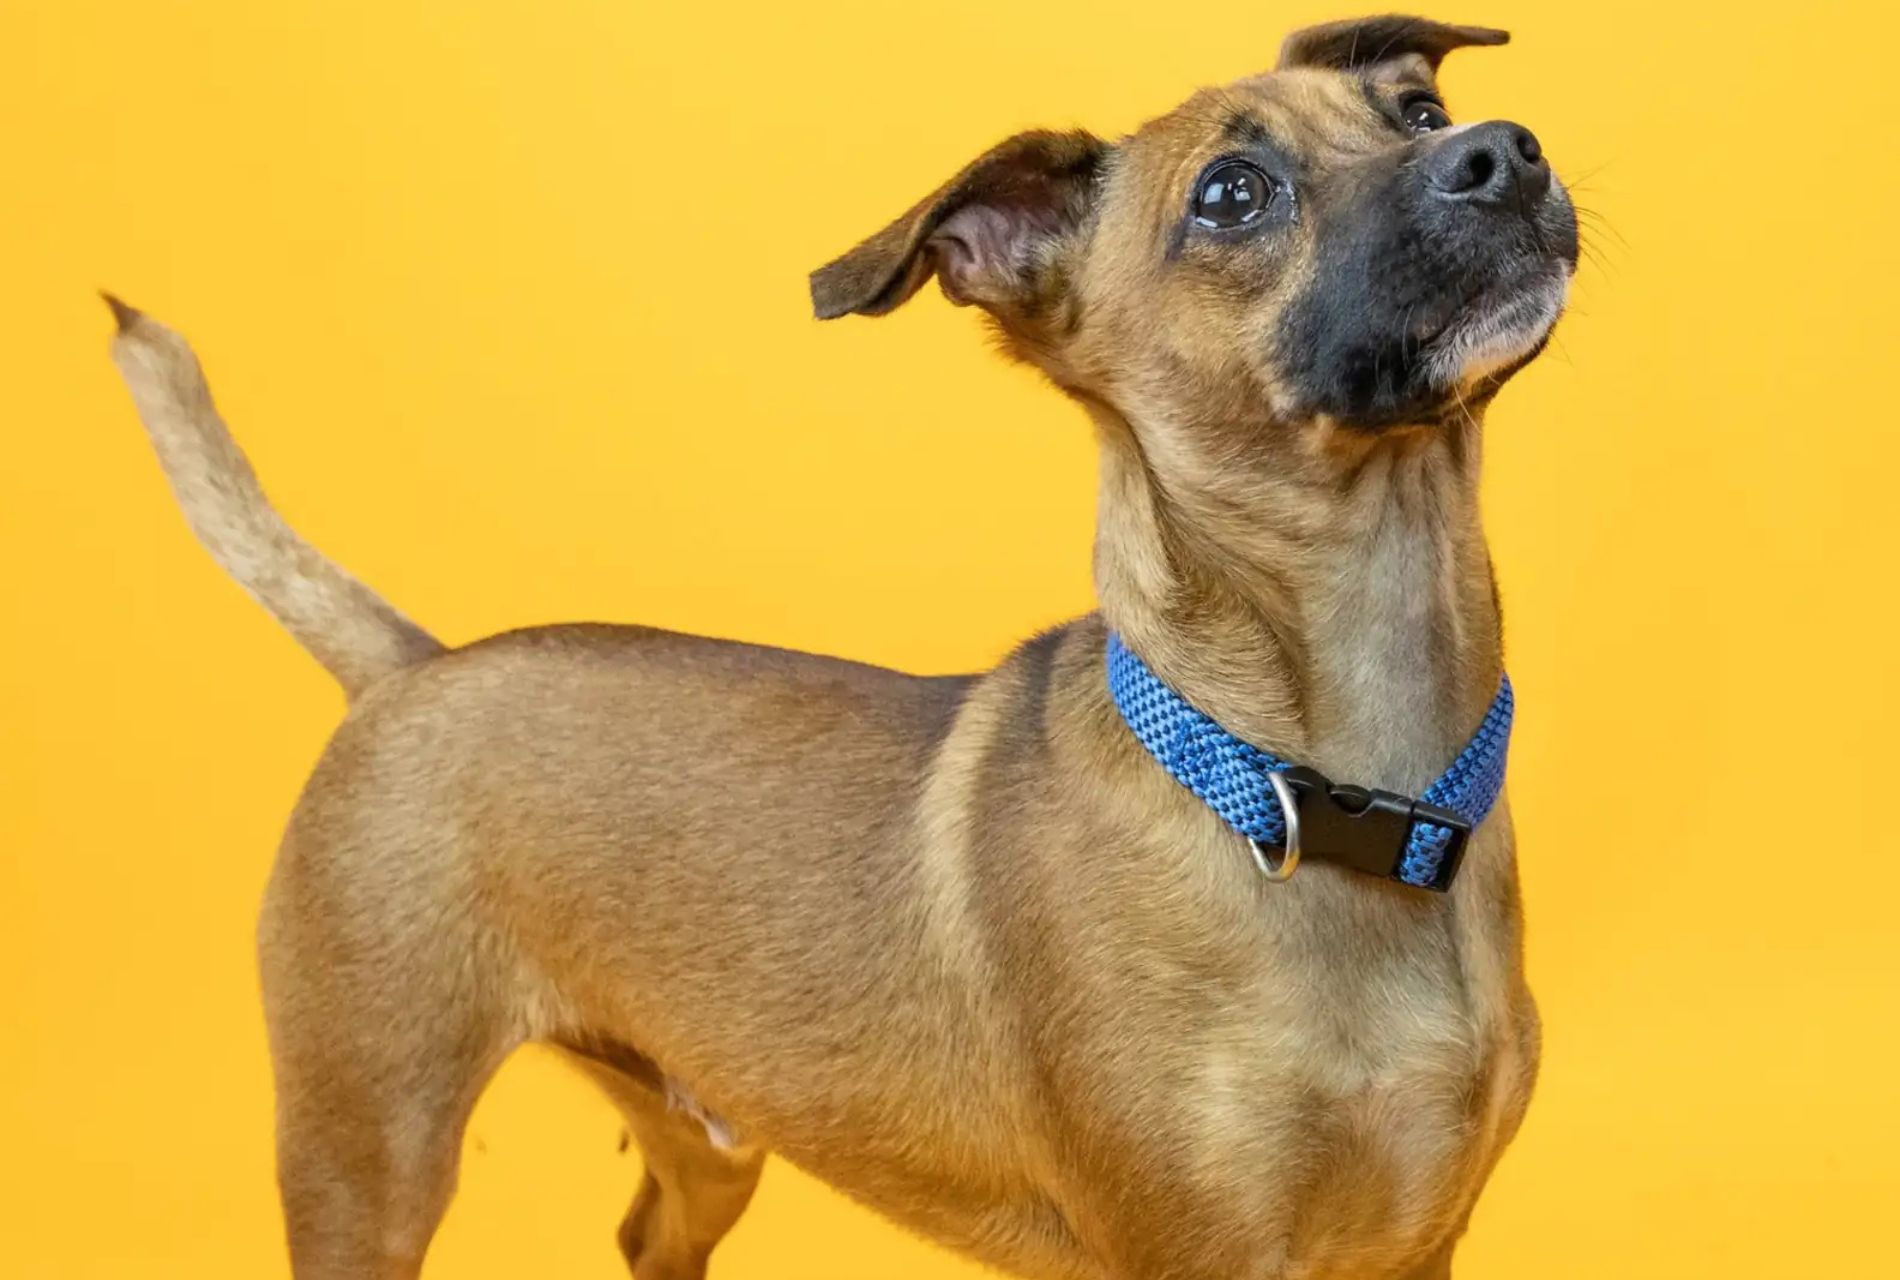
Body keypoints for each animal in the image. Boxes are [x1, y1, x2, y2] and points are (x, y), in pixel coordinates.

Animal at [111, 12, 1580, 1276]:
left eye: (1418, 109)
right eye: (1231, 194)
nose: (1499, 151)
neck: (1321, 790)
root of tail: (415, 664)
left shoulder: (1420, 1247)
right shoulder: (1192, 1252)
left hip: (700, 1136)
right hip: (370, 1145)